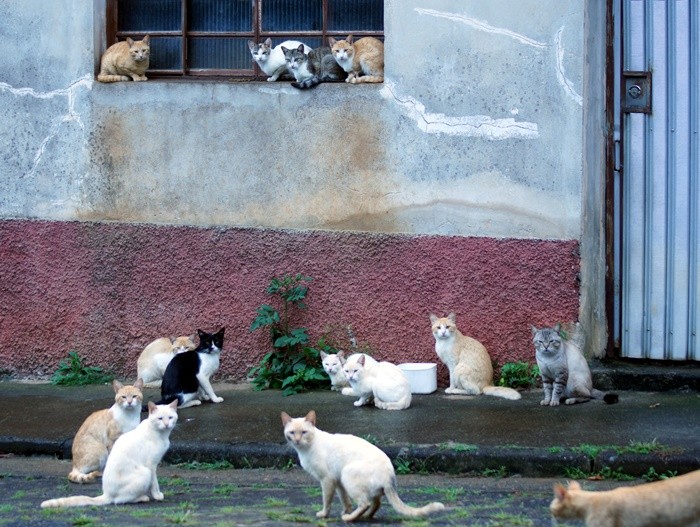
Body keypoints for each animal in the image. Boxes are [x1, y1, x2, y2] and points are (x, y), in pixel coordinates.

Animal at [41, 402, 178, 510]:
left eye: (170, 417)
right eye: (160, 418)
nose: (167, 424)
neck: (161, 434)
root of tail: (106, 494)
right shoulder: (151, 465)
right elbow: (155, 484)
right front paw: (158, 495)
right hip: (145, 472)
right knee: (119, 500)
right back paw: (142, 498)